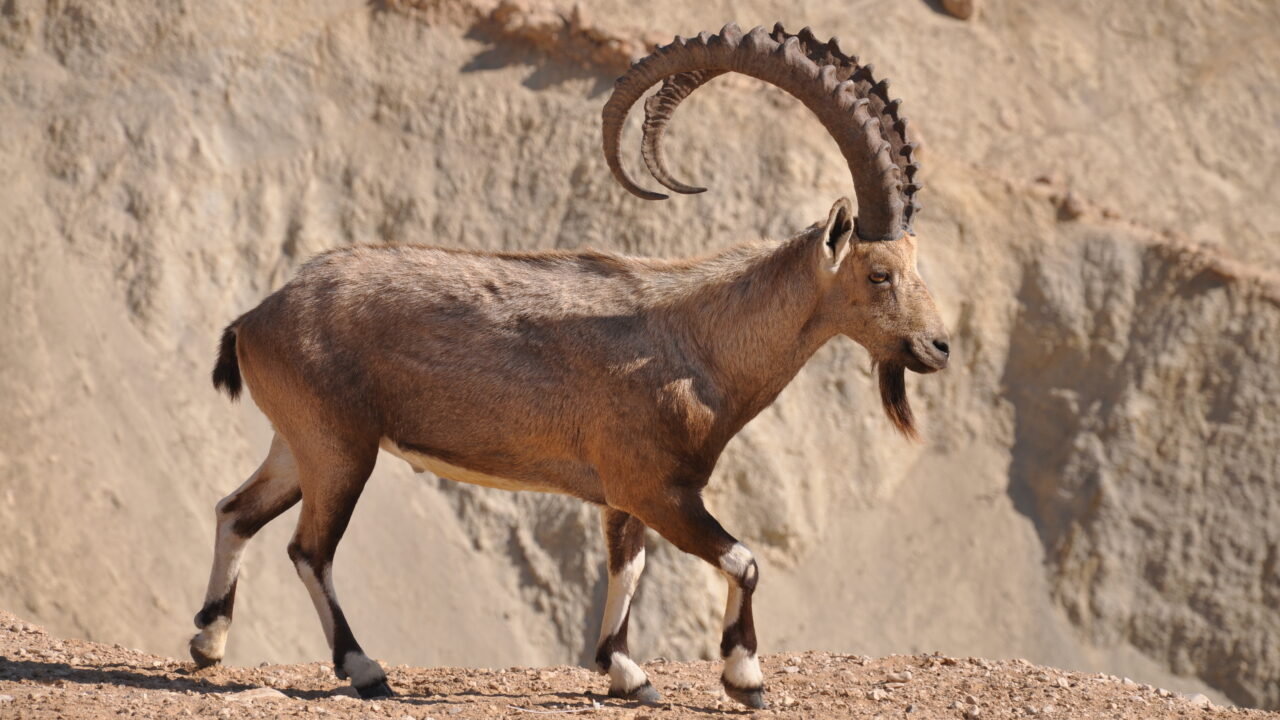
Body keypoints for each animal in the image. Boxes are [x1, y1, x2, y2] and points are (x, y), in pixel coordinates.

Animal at [190, 22, 950, 710]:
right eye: (878, 273)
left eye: (917, 263)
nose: (939, 346)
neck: (700, 340)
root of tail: (256, 317)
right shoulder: (658, 489)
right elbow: (745, 560)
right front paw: (745, 678)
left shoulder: (623, 497)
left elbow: (628, 567)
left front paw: (626, 673)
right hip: (341, 448)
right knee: (308, 549)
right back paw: (364, 668)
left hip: (299, 442)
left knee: (236, 511)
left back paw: (207, 642)